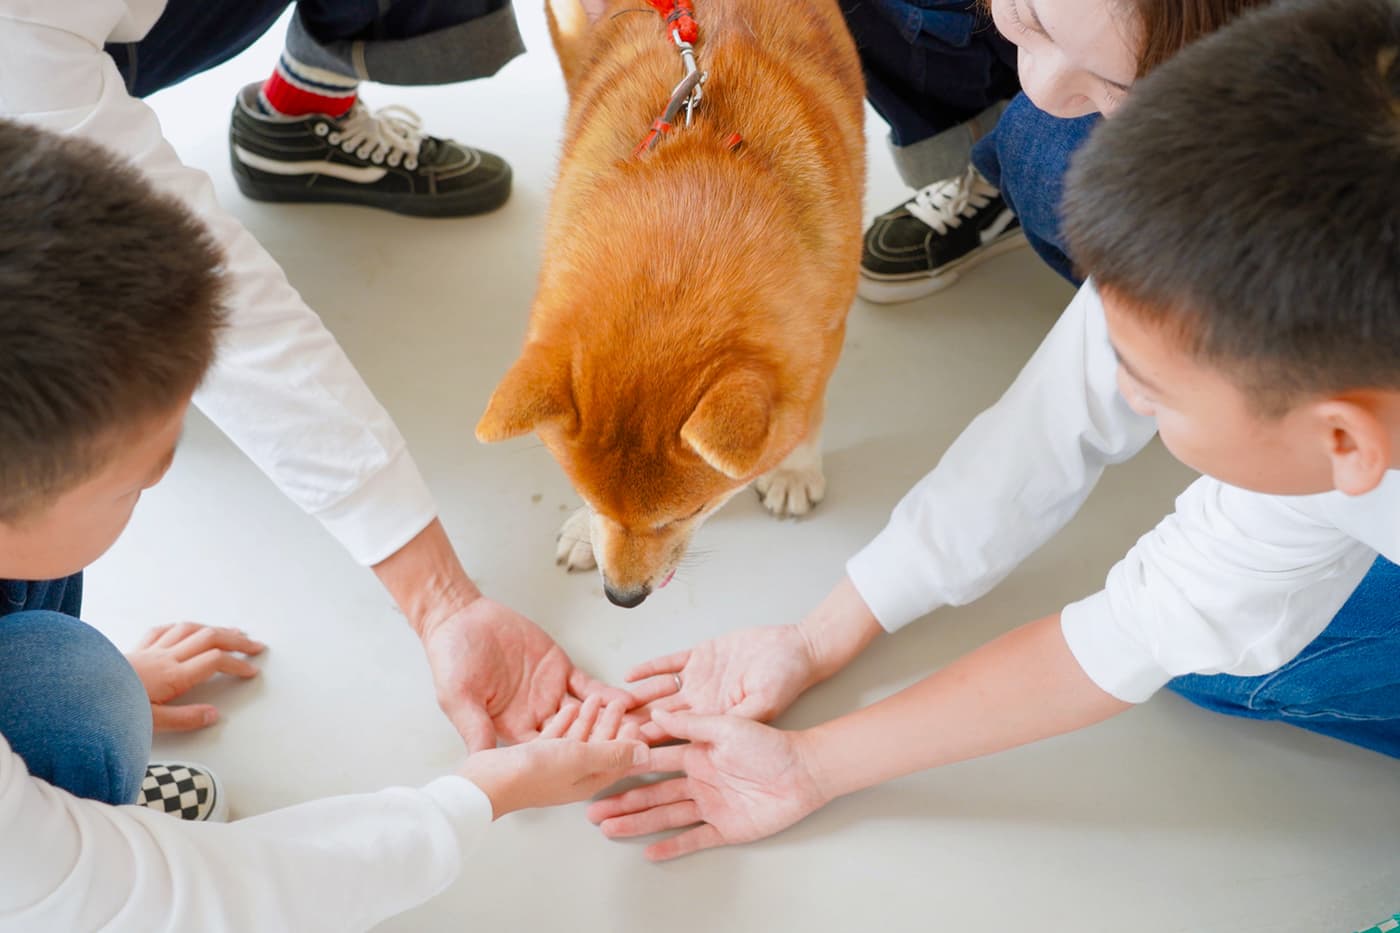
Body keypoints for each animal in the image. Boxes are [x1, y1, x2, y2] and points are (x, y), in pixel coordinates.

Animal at [478, 0, 862, 607]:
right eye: (588, 495)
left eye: (689, 512)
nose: (622, 597)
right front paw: (582, 531)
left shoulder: (823, 326)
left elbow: (808, 412)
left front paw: (793, 471)